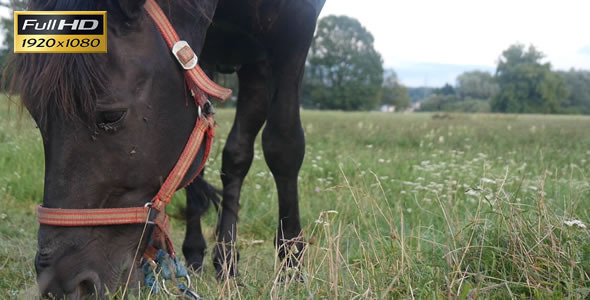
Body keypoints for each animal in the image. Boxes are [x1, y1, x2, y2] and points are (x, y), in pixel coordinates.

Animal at [8, 0, 324, 296]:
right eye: (37, 116)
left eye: (111, 116)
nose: (59, 284)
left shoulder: (284, 41)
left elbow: (280, 146)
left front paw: (291, 265)